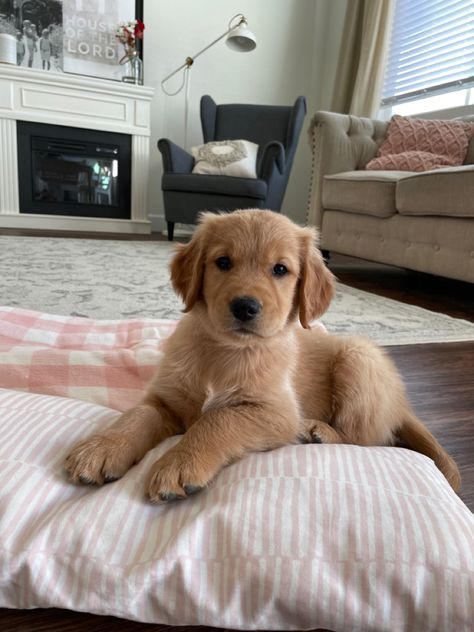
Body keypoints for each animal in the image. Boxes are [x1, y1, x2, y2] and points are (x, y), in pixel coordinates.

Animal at [65, 209, 462, 498]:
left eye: (280, 269)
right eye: (223, 262)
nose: (245, 307)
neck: (226, 351)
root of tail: (402, 403)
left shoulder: (275, 412)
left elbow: (217, 419)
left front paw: (179, 463)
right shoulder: (167, 398)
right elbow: (136, 415)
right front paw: (101, 448)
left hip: (359, 358)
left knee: (365, 438)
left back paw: (318, 431)